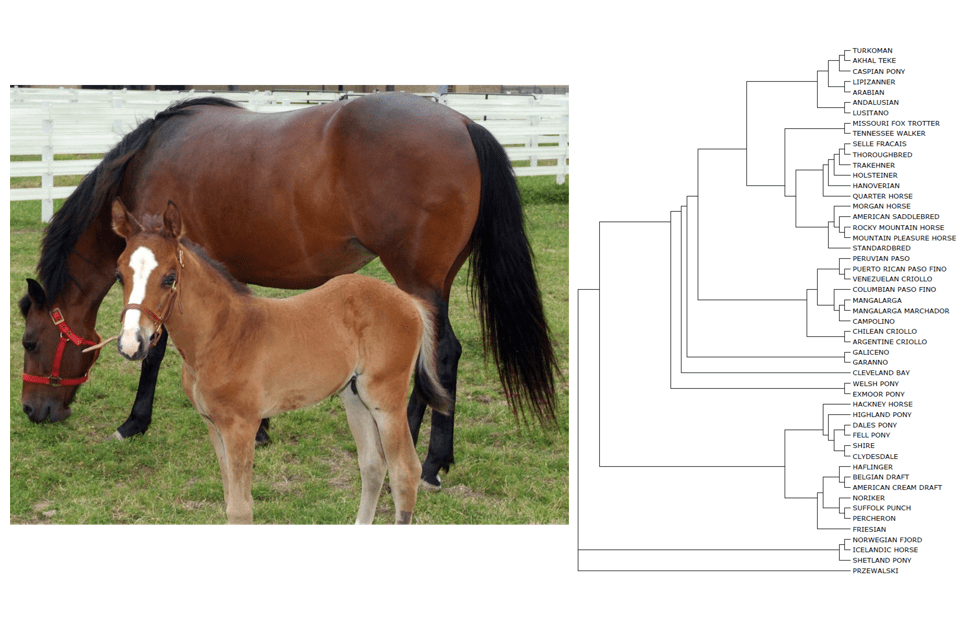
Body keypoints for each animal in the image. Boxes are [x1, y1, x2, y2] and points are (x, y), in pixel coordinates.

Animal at [18, 92, 558, 488]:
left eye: (29, 341)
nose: (32, 411)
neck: (147, 160)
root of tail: (464, 123)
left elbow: (155, 352)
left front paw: (134, 422)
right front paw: (261, 428)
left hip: (420, 281)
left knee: (441, 354)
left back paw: (428, 464)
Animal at [111, 198, 451, 524]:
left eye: (169, 278)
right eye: (119, 275)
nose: (132, 343)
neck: (222, 335)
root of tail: (410, 301)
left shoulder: (241, 426)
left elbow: (240, 510)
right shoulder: (213, 425)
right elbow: (229, 501)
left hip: (385, 399)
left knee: (405, 471)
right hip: (354, 396)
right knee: (372, 465)